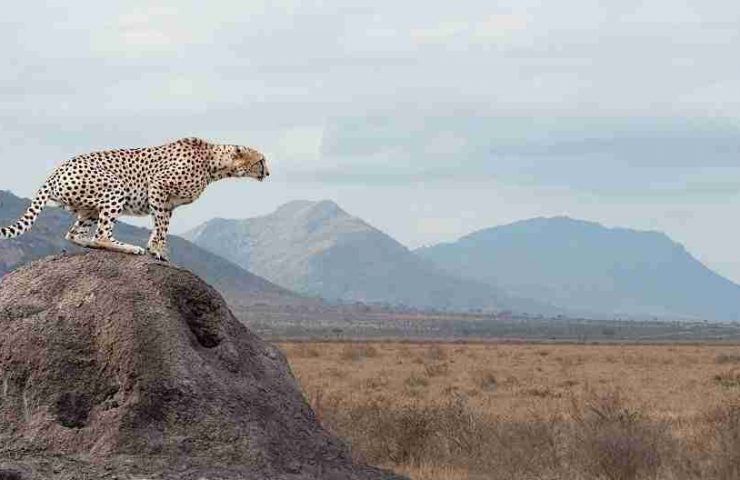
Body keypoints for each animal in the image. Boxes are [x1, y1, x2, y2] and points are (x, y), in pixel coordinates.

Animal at [0, 137, 270, 260]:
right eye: (261, 160)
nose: (268, 173)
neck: (213, 163)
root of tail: (56, 170)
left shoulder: (168, 203)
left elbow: (161, 225)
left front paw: (156, 248)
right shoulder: (158, 186)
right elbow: (161, 226)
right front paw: (156, 250)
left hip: (89, 208)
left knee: (75, 234)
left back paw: (90, 243)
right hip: (114, 188)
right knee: (102, 234)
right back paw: (129, 247)